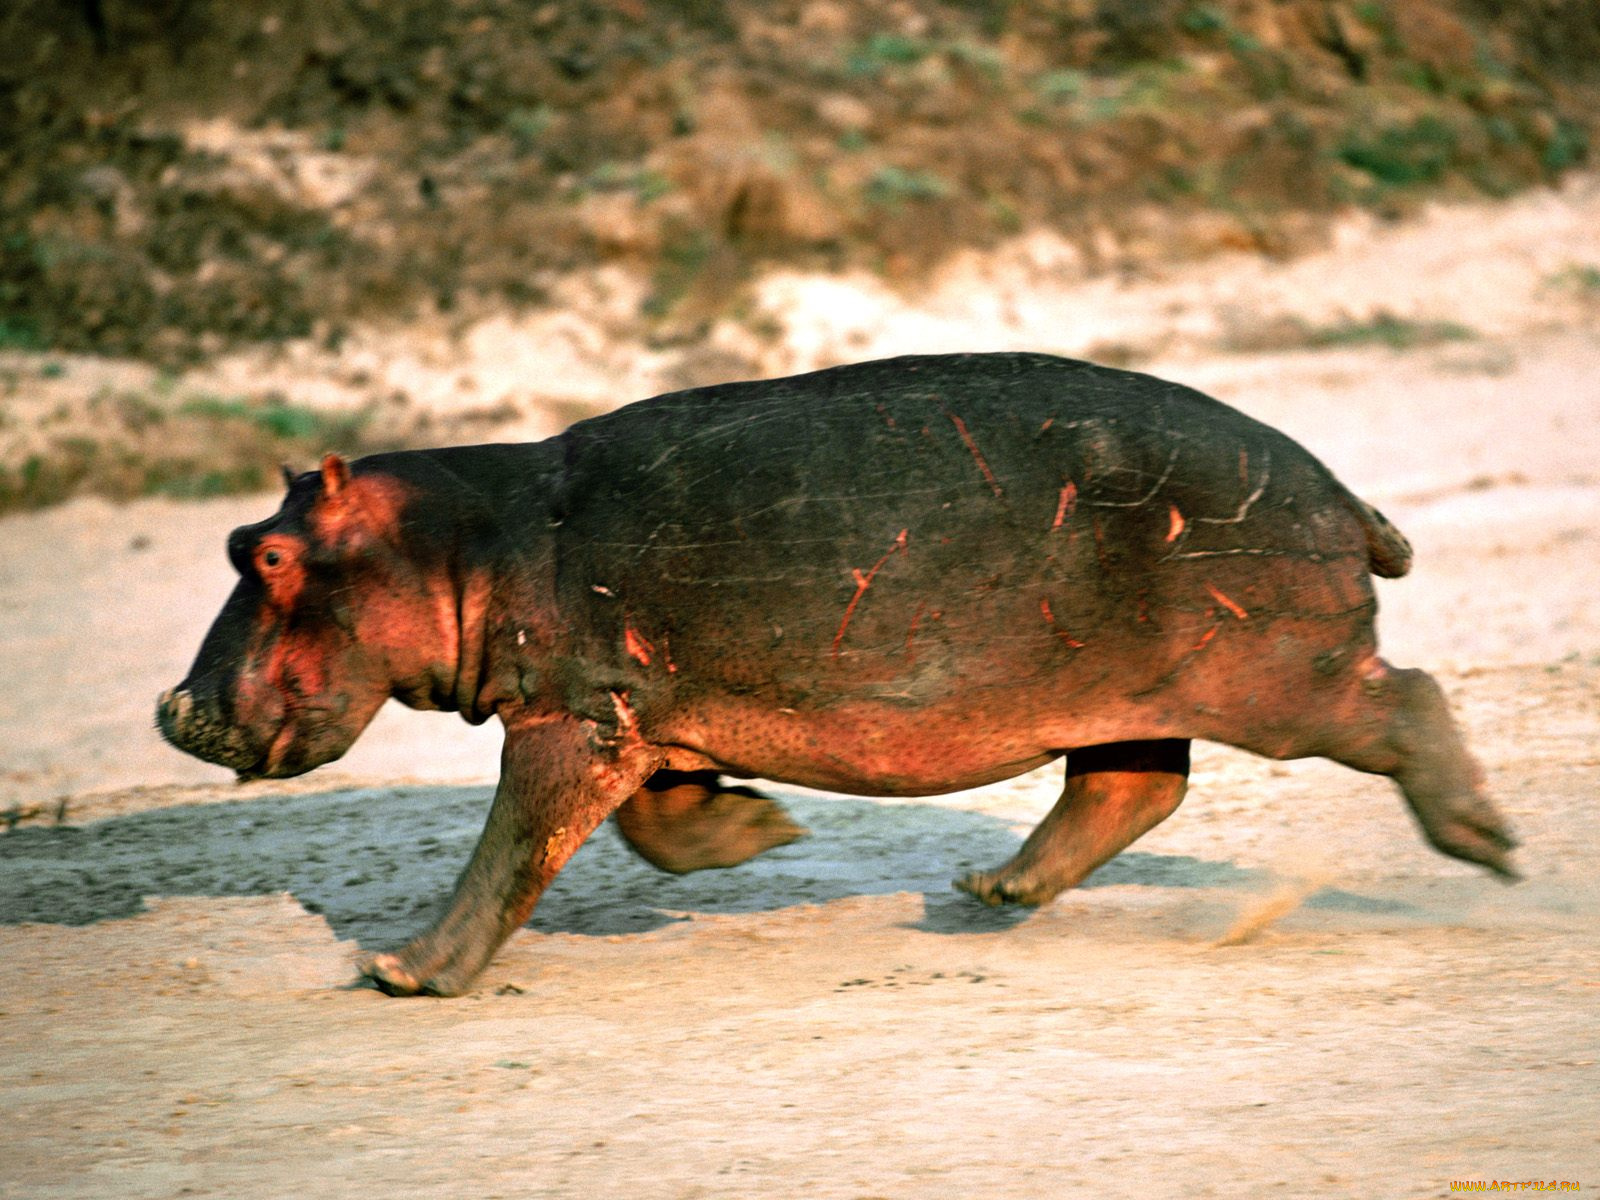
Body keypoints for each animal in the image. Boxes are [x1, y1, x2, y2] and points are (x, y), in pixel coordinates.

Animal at [156, 352, 1516, 996]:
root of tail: (1344, 494)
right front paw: (765, 829)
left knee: (1402, 702)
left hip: (1279, 678)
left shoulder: (571, 717)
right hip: (1127, 687)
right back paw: (986, 891)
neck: (462, 540)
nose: (176, 712)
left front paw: (399, 973)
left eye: (269, 553)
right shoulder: (642, 715)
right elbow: (658, 828)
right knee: (1131, 785)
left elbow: (507, 854)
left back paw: (1490, 846)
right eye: (232, 541)